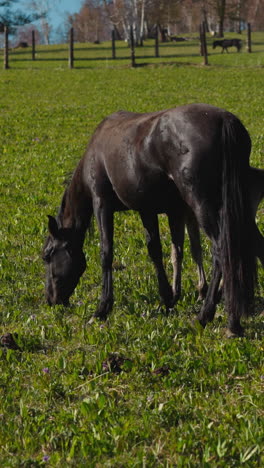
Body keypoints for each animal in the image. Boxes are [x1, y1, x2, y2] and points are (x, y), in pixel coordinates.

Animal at [42, 103, 258, 336]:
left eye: (47, 256)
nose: (50, 299)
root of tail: (224, 121)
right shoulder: (146, 209)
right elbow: (155, 250)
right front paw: (167, 299)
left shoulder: (102, 204)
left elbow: (106, 253)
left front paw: (102, 309)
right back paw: (233, 321)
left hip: (202, 205)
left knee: (221, 252)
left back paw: (206, 316)